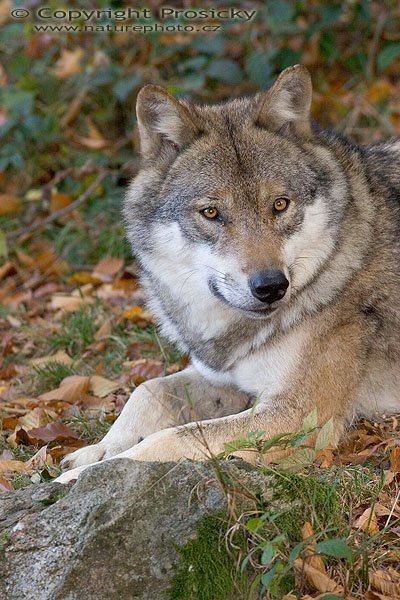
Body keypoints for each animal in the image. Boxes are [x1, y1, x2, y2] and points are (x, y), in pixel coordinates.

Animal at [56, 65, 400, 486]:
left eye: (279, 205)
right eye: (211, 213)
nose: (271, 286)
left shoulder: (298, 414)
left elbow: (173, 437)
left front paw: (93, 474)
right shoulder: (224, 378)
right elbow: (147, 391)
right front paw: (98, 451)